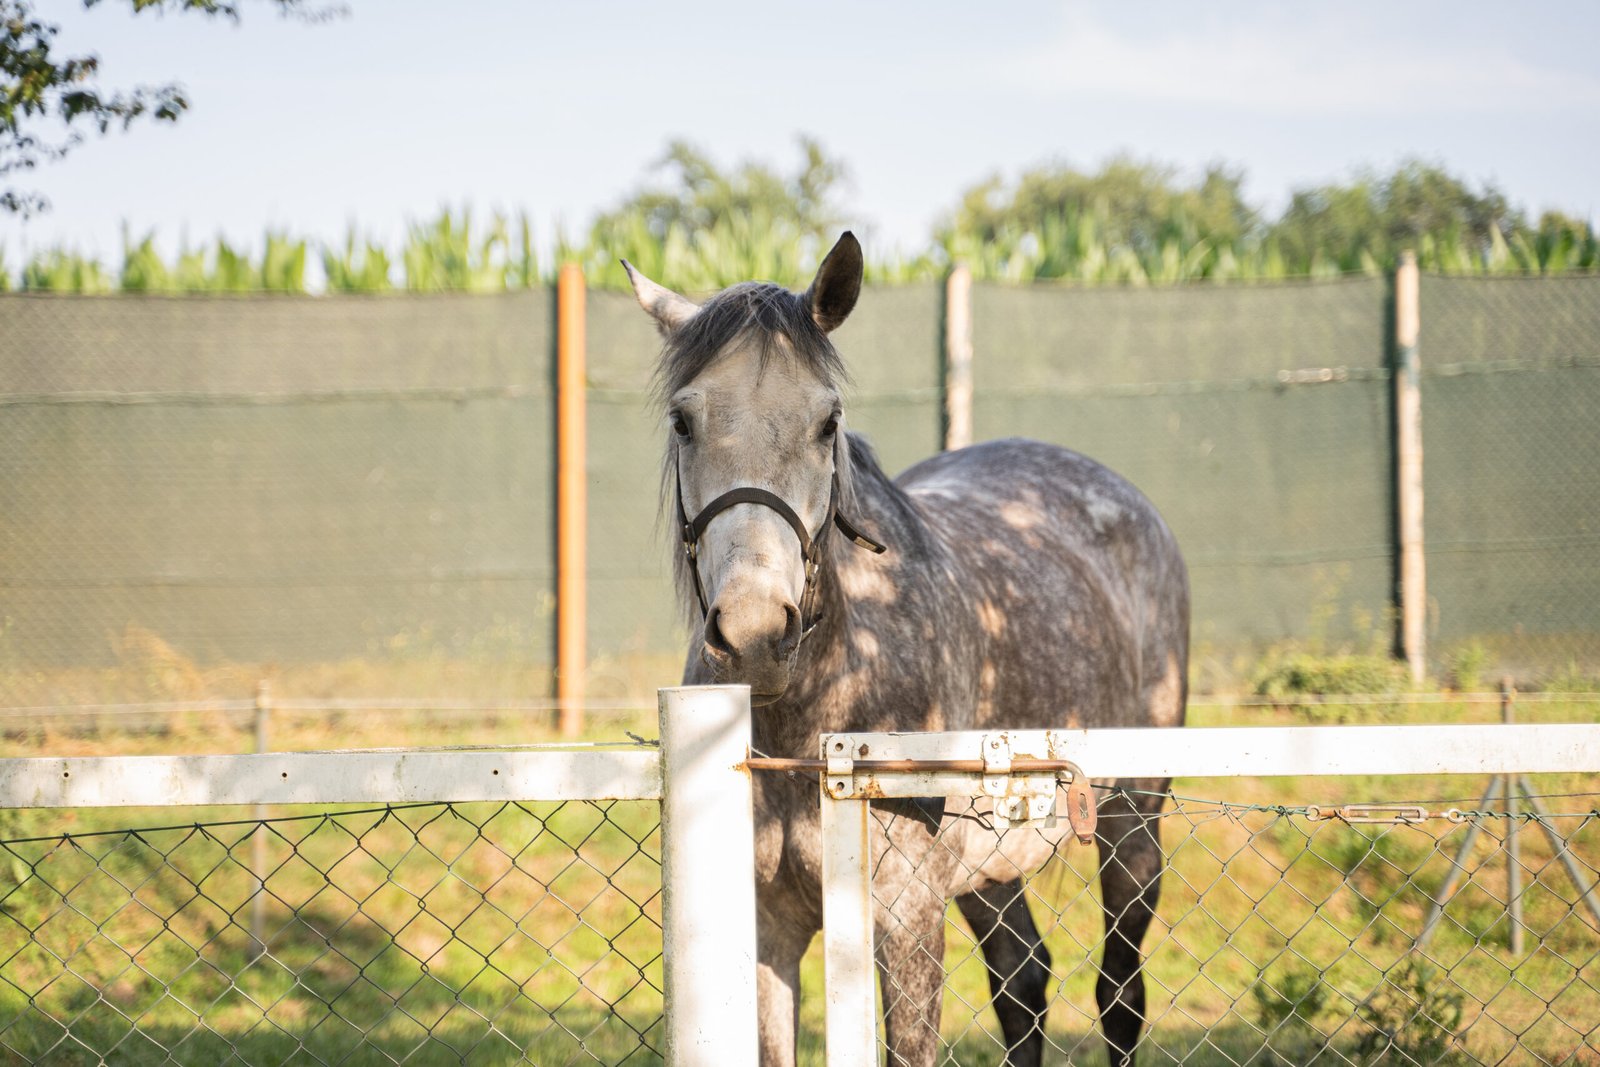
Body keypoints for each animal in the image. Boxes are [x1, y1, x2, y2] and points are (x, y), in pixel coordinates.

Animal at [623, 232, 1188, 1066]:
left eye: (828, 421)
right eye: (683, 420)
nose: (755, 632)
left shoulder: (904, 916)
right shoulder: (770, 930)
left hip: (1132, 822)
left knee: (1119, 992)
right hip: (992, 859)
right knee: (1023, 980)